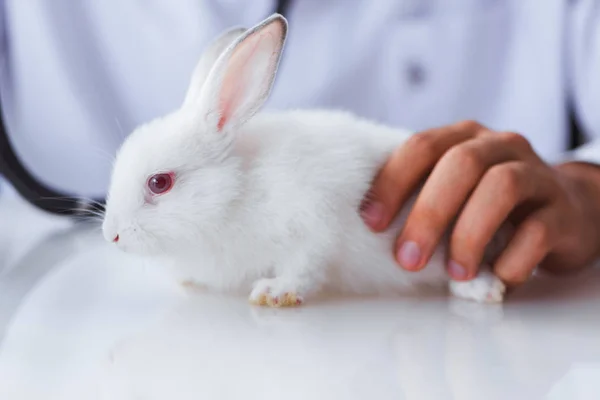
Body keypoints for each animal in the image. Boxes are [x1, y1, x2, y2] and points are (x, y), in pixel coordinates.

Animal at [102, 12, 506, 306]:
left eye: (160, 183)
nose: (112, 235)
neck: (236, 193)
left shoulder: (313, 226)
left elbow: (305, 268)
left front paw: (273, 292)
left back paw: (483, 290)